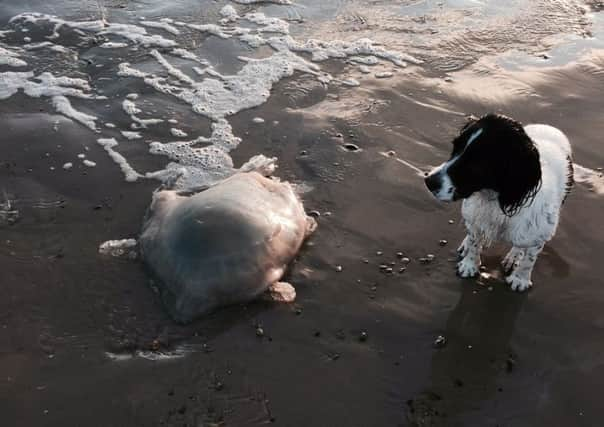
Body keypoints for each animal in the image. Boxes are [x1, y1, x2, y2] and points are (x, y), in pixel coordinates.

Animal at [422, 115, 572, 292]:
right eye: (455, 147)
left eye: (476, 164)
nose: (429, 181)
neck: (495, 200)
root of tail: (548, 127)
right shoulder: (475, 217)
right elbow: (474, 240)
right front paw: (469, 265)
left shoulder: (539, 235)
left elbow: (529, 260)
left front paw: (520, 278)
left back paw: (514, 256)